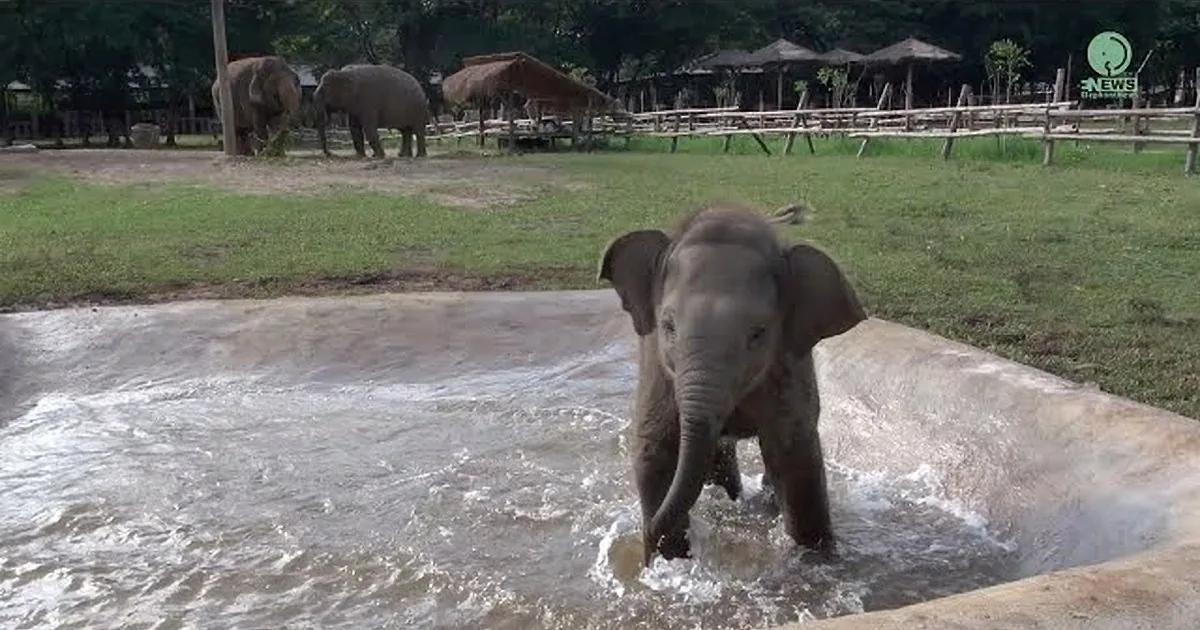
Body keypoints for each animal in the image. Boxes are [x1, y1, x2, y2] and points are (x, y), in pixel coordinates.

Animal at [597, 203, 867, 567]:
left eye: (758, 333)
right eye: (668, 326)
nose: (644, 539)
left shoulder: (788, 362)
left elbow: (794, 455)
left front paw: (815, 559)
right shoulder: (656, 363)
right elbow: (655, 448)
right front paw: (668, 562)